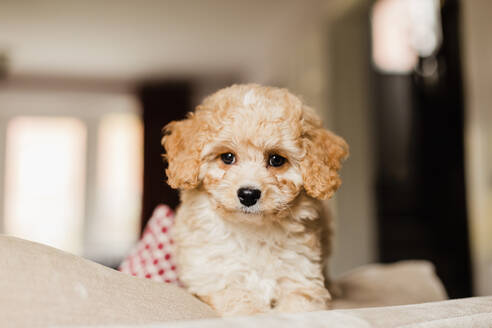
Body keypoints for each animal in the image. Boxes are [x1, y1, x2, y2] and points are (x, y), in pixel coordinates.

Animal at [163, 83, 348, 316]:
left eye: (276, 159)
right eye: (227, 157)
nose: (248, 194)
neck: (253, 232)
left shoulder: (300, 276)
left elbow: (299, 306)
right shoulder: (216, 276)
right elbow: (242, 302)